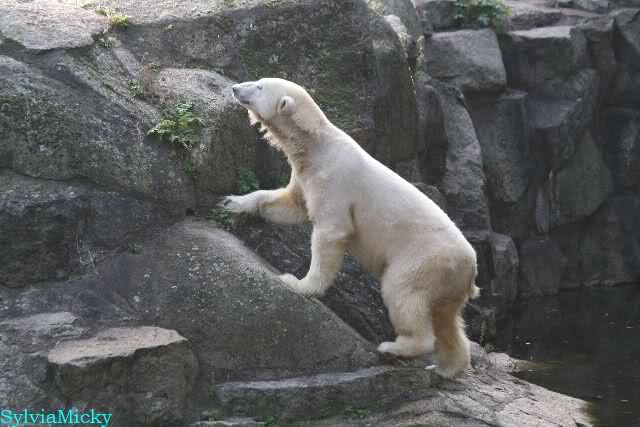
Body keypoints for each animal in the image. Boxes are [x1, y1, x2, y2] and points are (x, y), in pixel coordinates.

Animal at [222, 78, 479, 378]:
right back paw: (445, 367)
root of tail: (471, 268)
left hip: (424, 261)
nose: (235, 88)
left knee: (403, 293)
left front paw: (298, 283)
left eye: (260, 87)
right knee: (446, 317)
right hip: (446, 280)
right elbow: (290, 203)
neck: (317, 147)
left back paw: (395, 347)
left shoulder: (335, 182)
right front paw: (232, 201)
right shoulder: (306, 176)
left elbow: (330, 232)